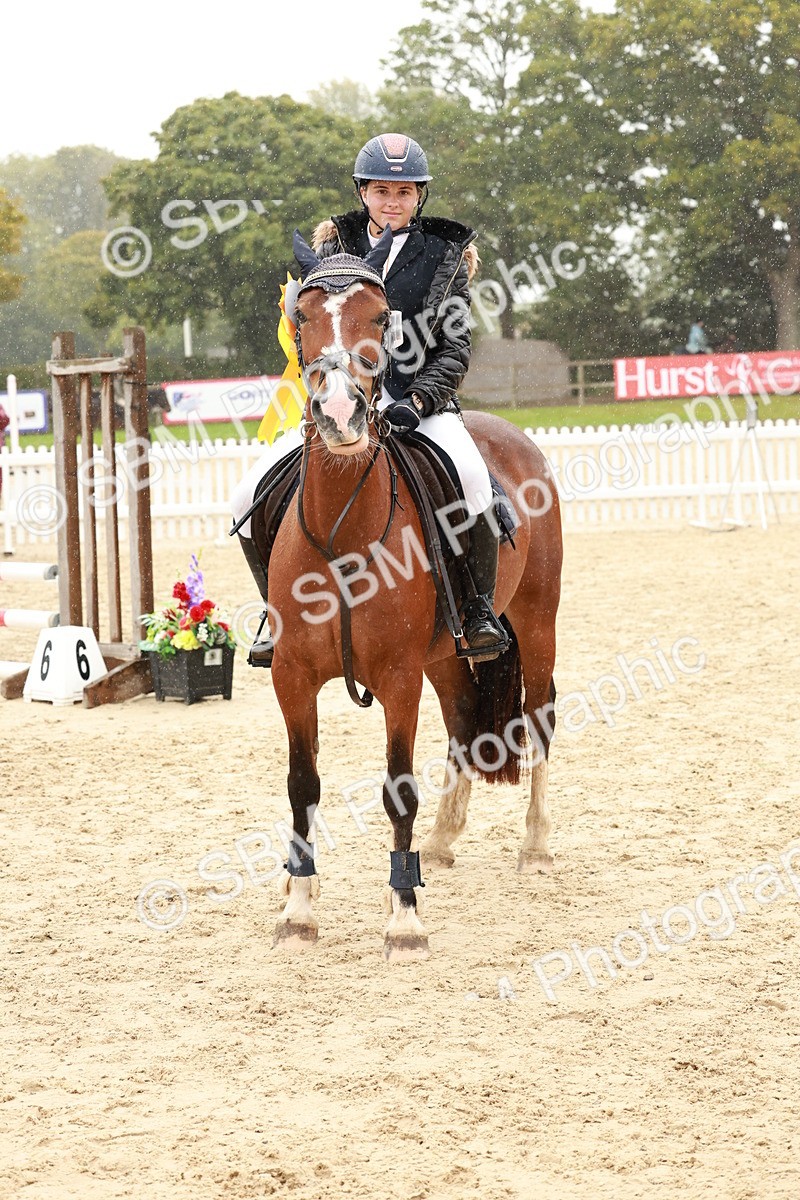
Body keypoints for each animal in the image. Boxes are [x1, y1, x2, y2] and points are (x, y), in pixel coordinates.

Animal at [261, 231, 563, 962]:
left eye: (379, 317)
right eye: (301, 317)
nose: (341, 414)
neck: (343, 531)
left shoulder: (398, 679)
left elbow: (398, 790)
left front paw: (404, 919)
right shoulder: (292, 676)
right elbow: (302, 785)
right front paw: (299, 907)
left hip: (537, 624)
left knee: (539, 719)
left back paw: (536, 845)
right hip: (447, 658)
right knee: (462, 725)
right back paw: (444, 841)